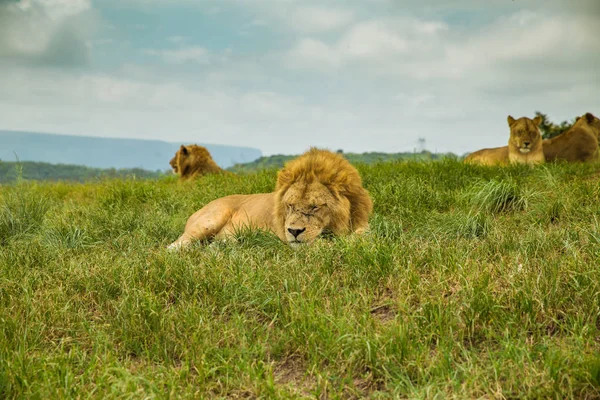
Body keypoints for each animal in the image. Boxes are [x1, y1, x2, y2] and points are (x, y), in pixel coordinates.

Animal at [166, 148, 372, 250]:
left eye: (315, 207)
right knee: (173, 246)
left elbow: (365, 233)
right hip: (210, 220)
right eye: (290, 205)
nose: (294, 231)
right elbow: (320, 243)